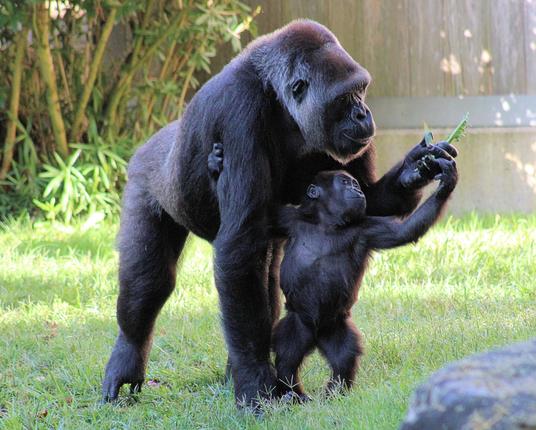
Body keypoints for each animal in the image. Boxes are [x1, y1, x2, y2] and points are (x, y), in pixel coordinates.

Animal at [207, 143, 458, 398]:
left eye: (355, 184)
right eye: (345, 183)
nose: (357, 190)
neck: (326, 223)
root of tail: (316, 337)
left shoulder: (366, 228)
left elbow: (404, 232)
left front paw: (444, 185)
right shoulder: (287, 218)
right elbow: (253, 217)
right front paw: (215, 166)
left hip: (336, 326)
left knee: (343, 357)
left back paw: (334, 391)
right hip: (298, 323)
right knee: (288, 354)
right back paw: (293, 392)